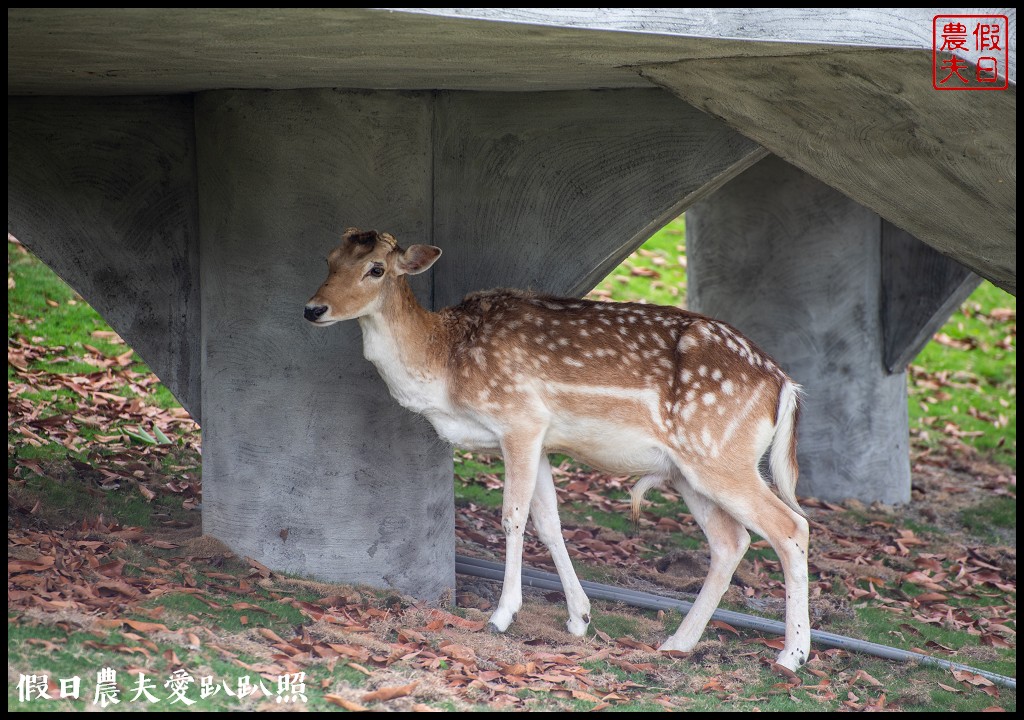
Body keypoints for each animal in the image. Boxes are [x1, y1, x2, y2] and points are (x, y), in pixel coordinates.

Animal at [301, 229, 806, 671]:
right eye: (328, 259)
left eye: (376, 269)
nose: (312, 308)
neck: (444, 368)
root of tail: (784, 386)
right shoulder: (543, 438)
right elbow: (549, 522)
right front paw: (579, 617)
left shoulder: (519, 419)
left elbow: (513, 516)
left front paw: (502, 616)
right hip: (689, 470)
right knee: (730, 540)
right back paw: (676, 643)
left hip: (719, 453)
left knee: (791, 526)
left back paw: (791, 656)